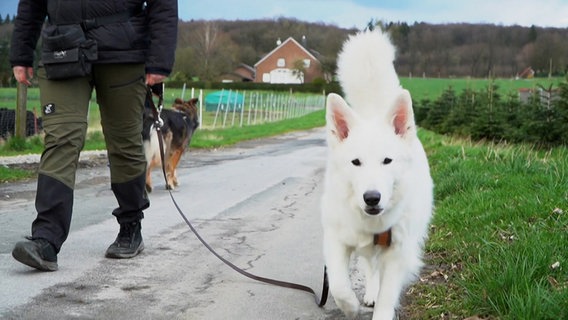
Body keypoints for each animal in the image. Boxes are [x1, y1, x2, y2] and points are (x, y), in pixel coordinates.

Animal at [320, 30, 434, 320]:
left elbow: (387, 296)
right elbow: (338, 284)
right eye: (356, 162)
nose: (372, 198)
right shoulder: (336, 239)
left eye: (387, 161)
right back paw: (369, 293)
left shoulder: (397, 253)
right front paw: (350, 306)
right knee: (370, 268)